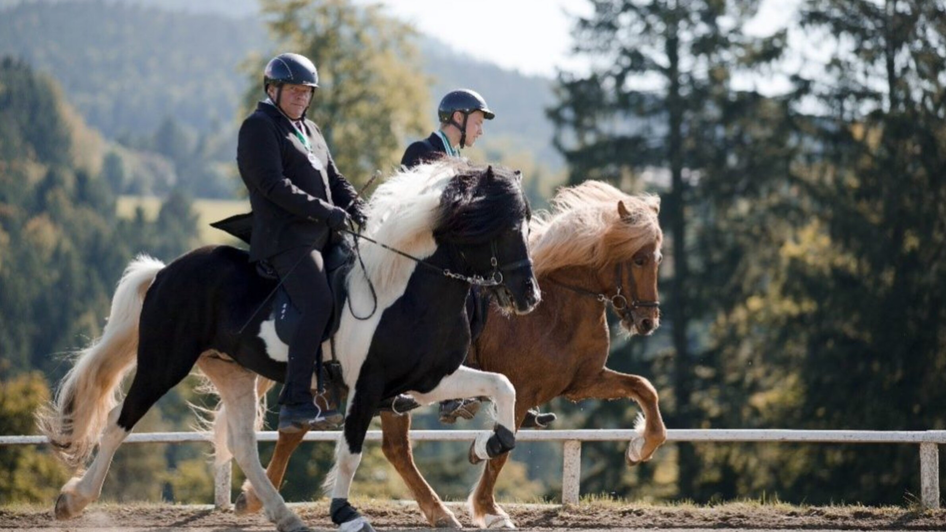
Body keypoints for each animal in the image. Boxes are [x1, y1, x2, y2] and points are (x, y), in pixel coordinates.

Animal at [38, 162, 540, 532]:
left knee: (242, 445)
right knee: (118, 425)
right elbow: (351, 450)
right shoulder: (367, 386)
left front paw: (491, 442)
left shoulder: (426, 381)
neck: (409, 292)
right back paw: (73, 500)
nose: (529, 296)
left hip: (234, 372)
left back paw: (284, 515)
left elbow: (504, 386)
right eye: (499, 228)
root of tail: (165, 271)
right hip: (164, 363)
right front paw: (344, 512)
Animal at [235, 182, 664, 528]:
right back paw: (255, 497)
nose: (648, 321)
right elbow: (502, 450)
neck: (557, 305)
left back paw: (438, 513)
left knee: (393, 450)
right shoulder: (522, 388)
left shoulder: (582, 382)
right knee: (300, 430)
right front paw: (489, 508)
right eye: (639, 259)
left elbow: (645, 389)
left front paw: (640, 447)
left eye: (658, 259)